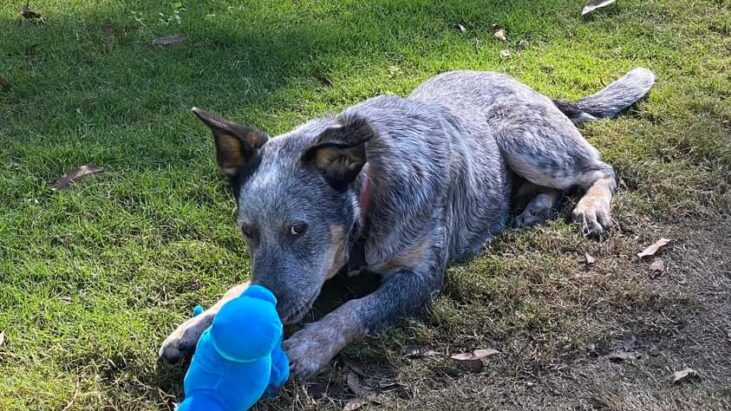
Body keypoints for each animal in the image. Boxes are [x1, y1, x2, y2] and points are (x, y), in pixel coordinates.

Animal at [160, 67, 656, 380]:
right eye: (247, 231)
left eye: (298, 229)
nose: (272, 312)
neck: (371, 194)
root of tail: (533, 88)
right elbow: (240, 288)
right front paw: (194, 326)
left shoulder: (421, 276)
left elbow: (356, 309)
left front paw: (309, 344)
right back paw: (534, 208)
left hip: (521, 138)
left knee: (599, 169)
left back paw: (591, 207)